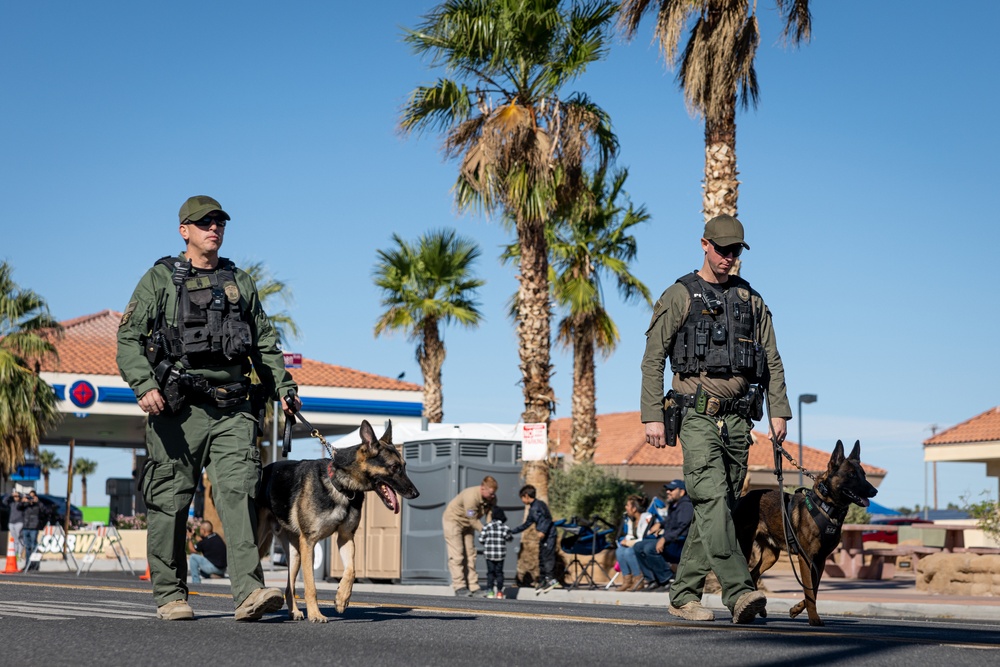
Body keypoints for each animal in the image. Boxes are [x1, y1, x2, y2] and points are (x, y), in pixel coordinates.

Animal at [258, 420, 418, 624]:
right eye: (395, 467)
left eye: (404, 465)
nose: (416, 493)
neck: (342, 487)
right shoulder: (309, 542)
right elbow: (311, 585)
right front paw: (316, 614)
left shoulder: (345, 537)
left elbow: (351, 571)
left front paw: (342, 599)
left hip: (295, 554)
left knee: (289, 586)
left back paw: (294, 611)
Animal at [732, 438, 880, 628]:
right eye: (852, 475)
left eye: (864, 475)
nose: (874, 491)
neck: (826, 507)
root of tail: (743, 497)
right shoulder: (806, 558)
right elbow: (809, 590)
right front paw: (814, 618)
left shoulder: (820, 560)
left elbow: (814, 589)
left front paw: (797, 609)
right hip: (745, 547)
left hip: (771, 556)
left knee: (753, 573)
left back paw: (759, 608)